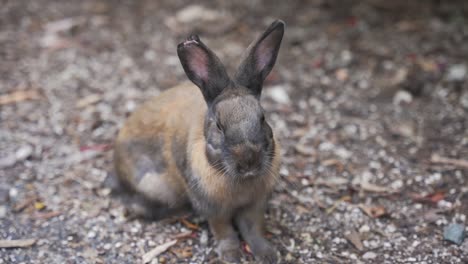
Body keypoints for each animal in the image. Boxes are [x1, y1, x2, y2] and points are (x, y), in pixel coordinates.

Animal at [114, 19, 286, 262]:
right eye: (219, 126)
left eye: (263, 118)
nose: (249, 162)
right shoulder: (214, 210)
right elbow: (224, 231)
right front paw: (231, 256)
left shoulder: (255, 206)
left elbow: (254, 229)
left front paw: (268, 255)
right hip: (155, 186)